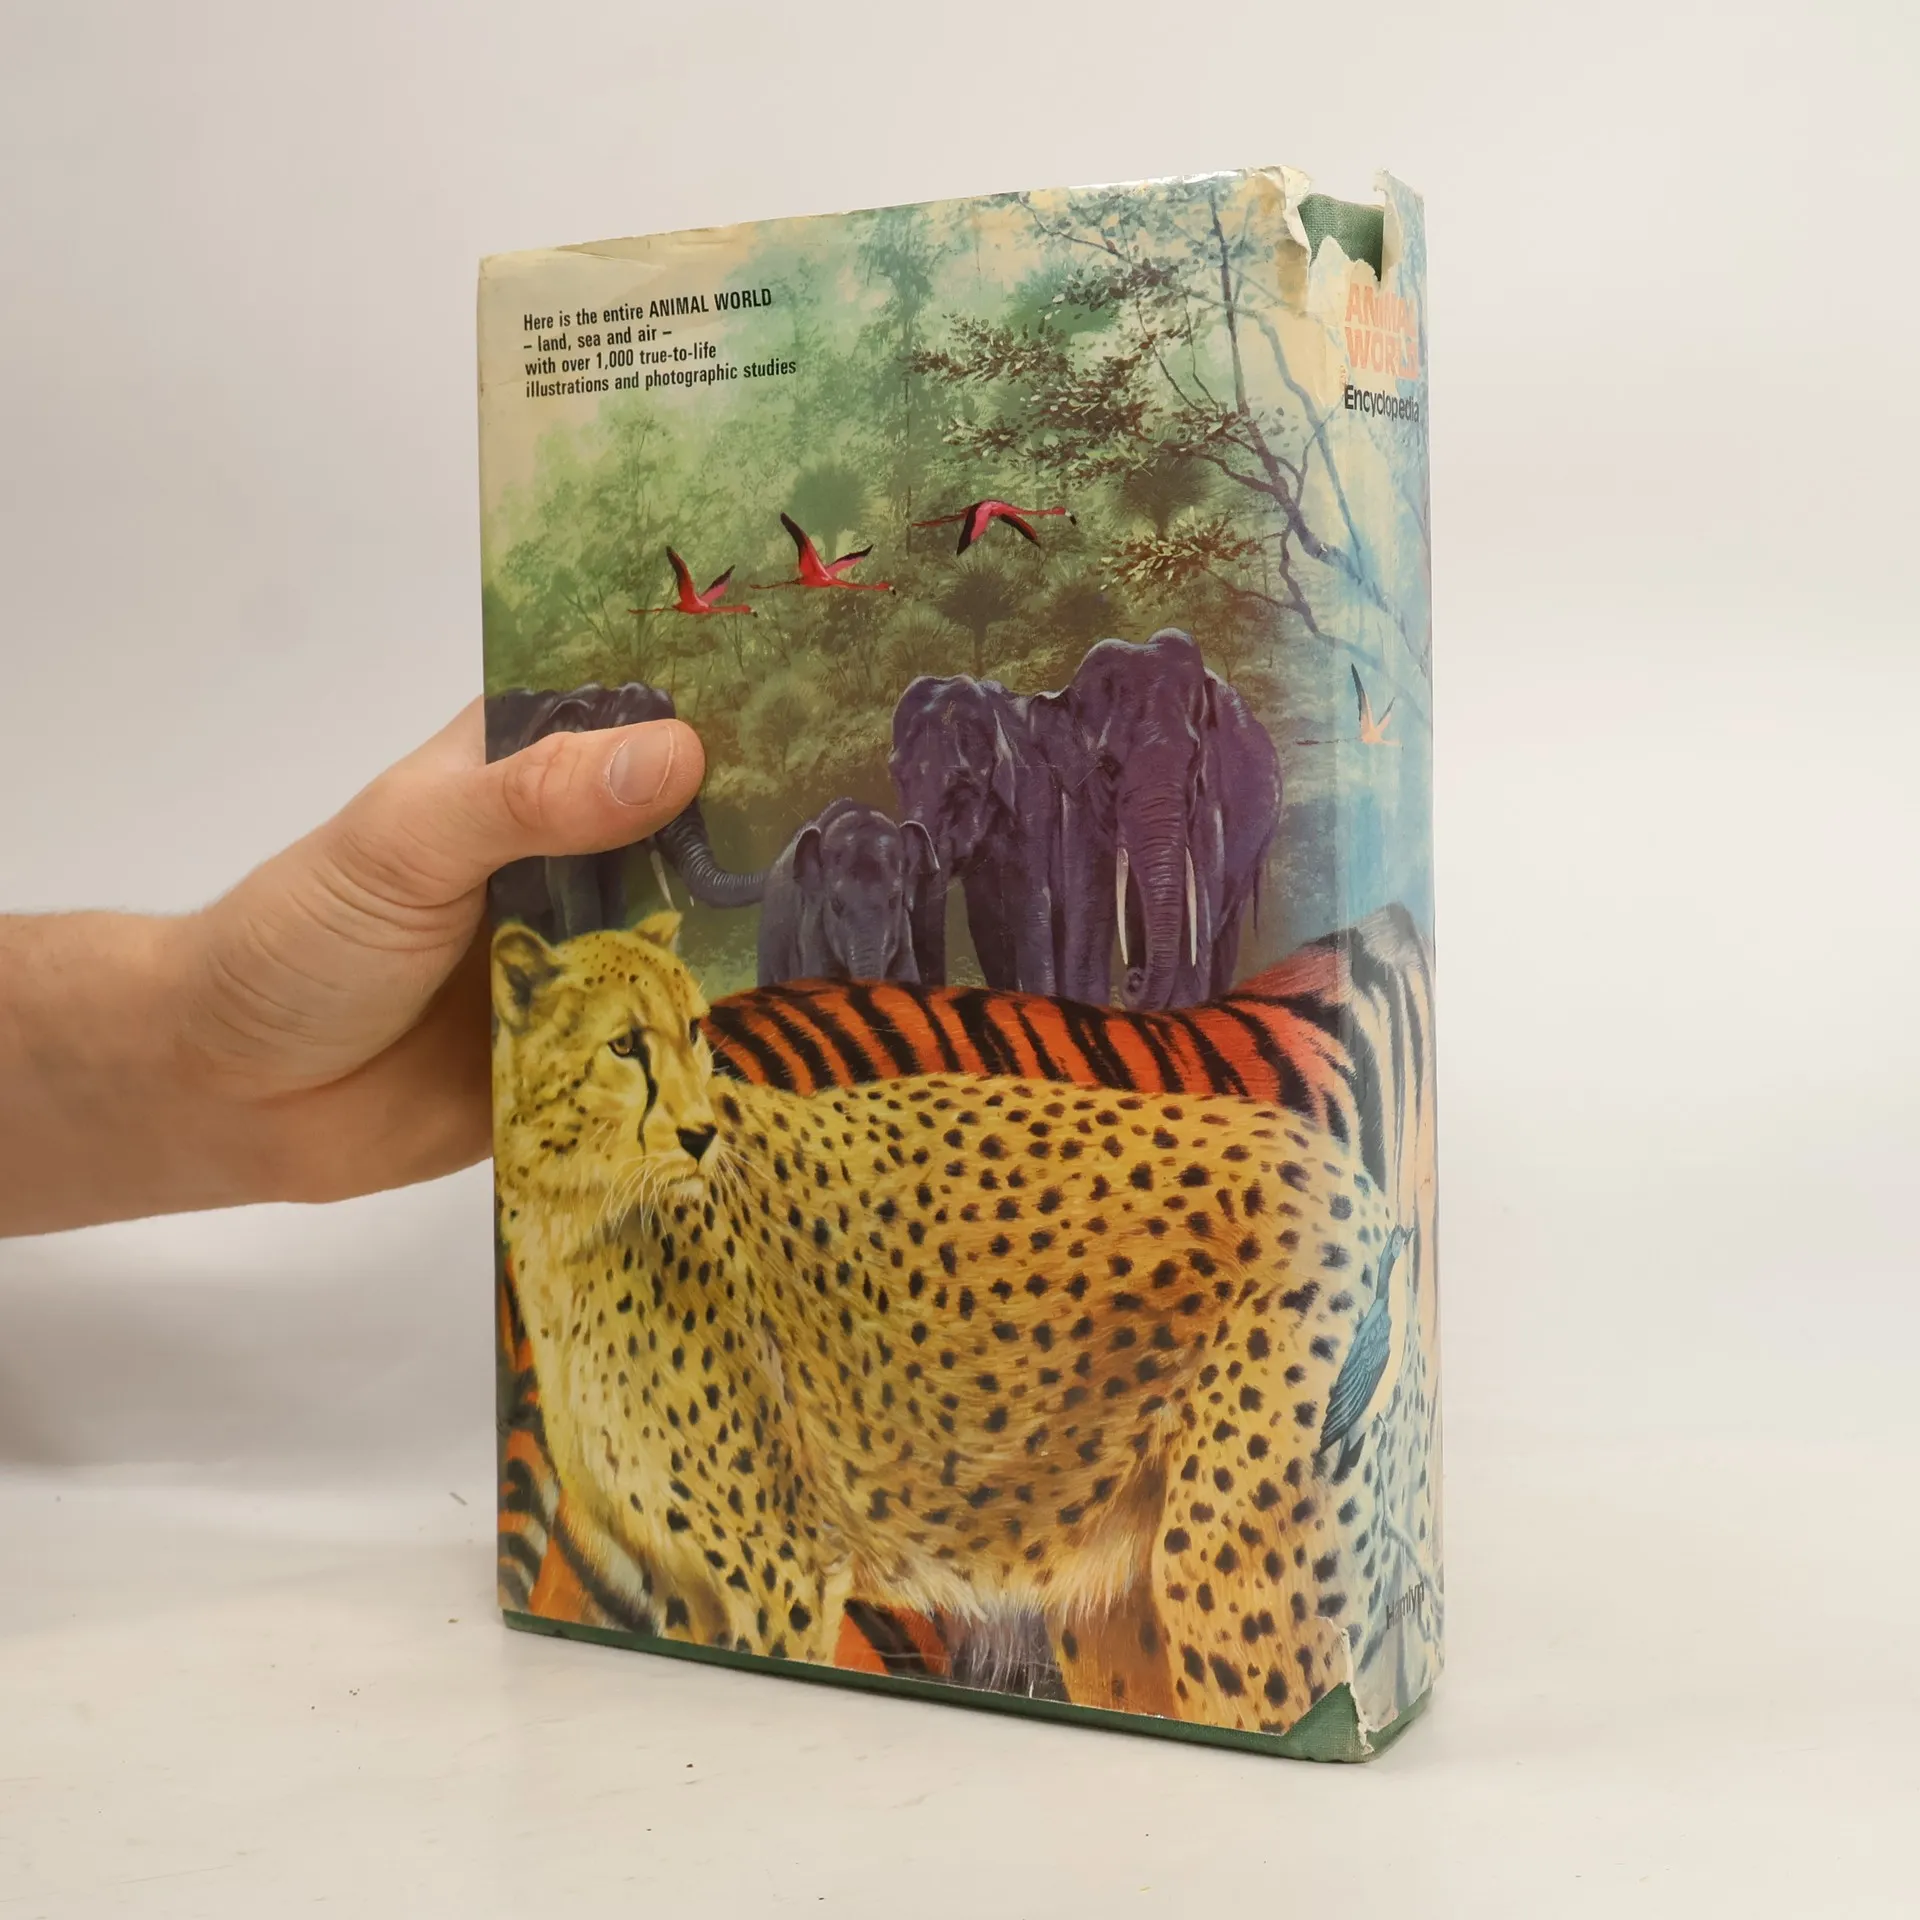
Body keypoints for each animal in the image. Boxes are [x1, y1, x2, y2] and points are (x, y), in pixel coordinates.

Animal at [1058, 628, 1281, 1009]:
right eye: (1107, 765)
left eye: (1193, 760)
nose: (1133, 979)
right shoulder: (1081, 802)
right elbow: (1084, 935)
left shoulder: (1207, 799)